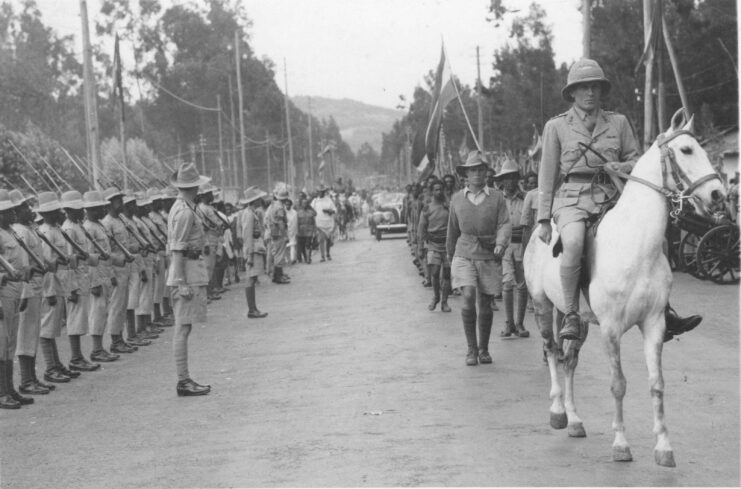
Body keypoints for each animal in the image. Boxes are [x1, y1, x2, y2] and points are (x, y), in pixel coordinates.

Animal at [524, 108, 724, 468]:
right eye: (687, 150)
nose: (720, 195)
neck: (635, 244)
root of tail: (537, 232)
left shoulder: (654, 324)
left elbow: (657, 384)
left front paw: (664, 447)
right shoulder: (611, 328)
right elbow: (618, 384)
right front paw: (620, 444)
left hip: (578, 319)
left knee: (569, 359)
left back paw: (575, 420)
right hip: (542, 304)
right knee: (550, 351)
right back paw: (558, 411)